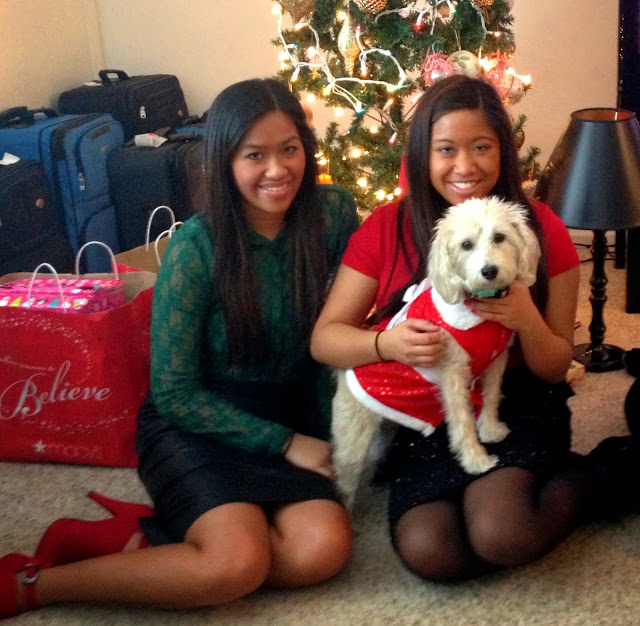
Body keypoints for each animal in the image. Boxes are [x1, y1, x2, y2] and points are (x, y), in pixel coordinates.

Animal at [331, 196, 541, 508]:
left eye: (500, 237)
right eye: (466, 244)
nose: (489, 271)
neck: (479, 307)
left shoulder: (496, 361)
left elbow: (491, 398)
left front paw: (490, 429)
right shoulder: (453, 376)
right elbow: (463, 423)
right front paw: (475, 460)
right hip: (352, 444)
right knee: (343, 483)